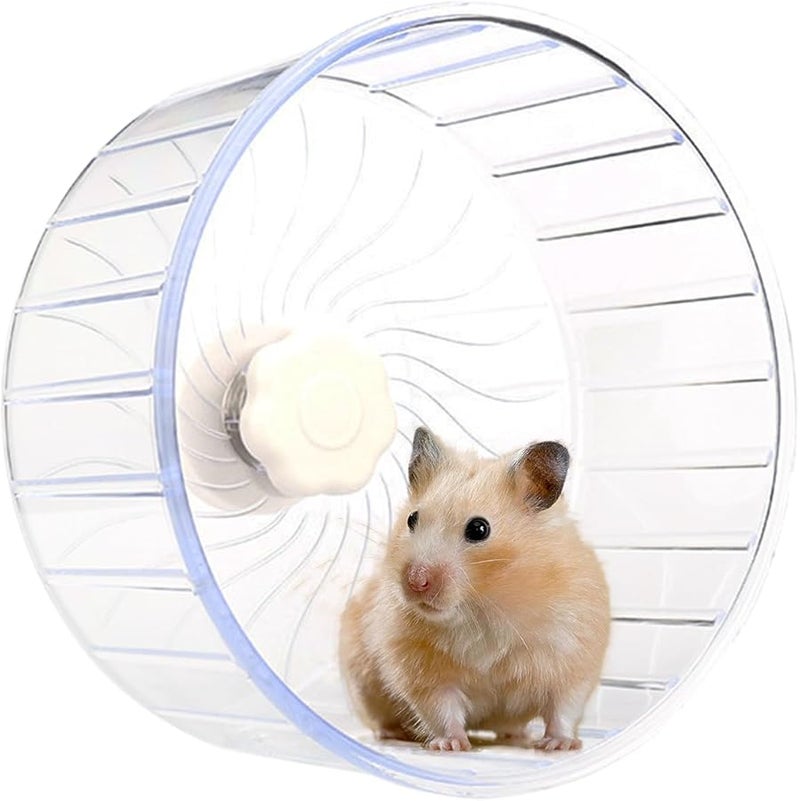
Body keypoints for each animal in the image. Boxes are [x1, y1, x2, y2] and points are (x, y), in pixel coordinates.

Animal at [339, 426, 610, 752]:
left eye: (479, 529)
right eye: (412, 519)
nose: (415, 581)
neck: (483, 605)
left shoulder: (573, 656)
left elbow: (563, 708)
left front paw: (559, 746)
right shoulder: (421, 670)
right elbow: (441, 708)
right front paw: (451, 745)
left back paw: (520, 737)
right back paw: (393, 734)